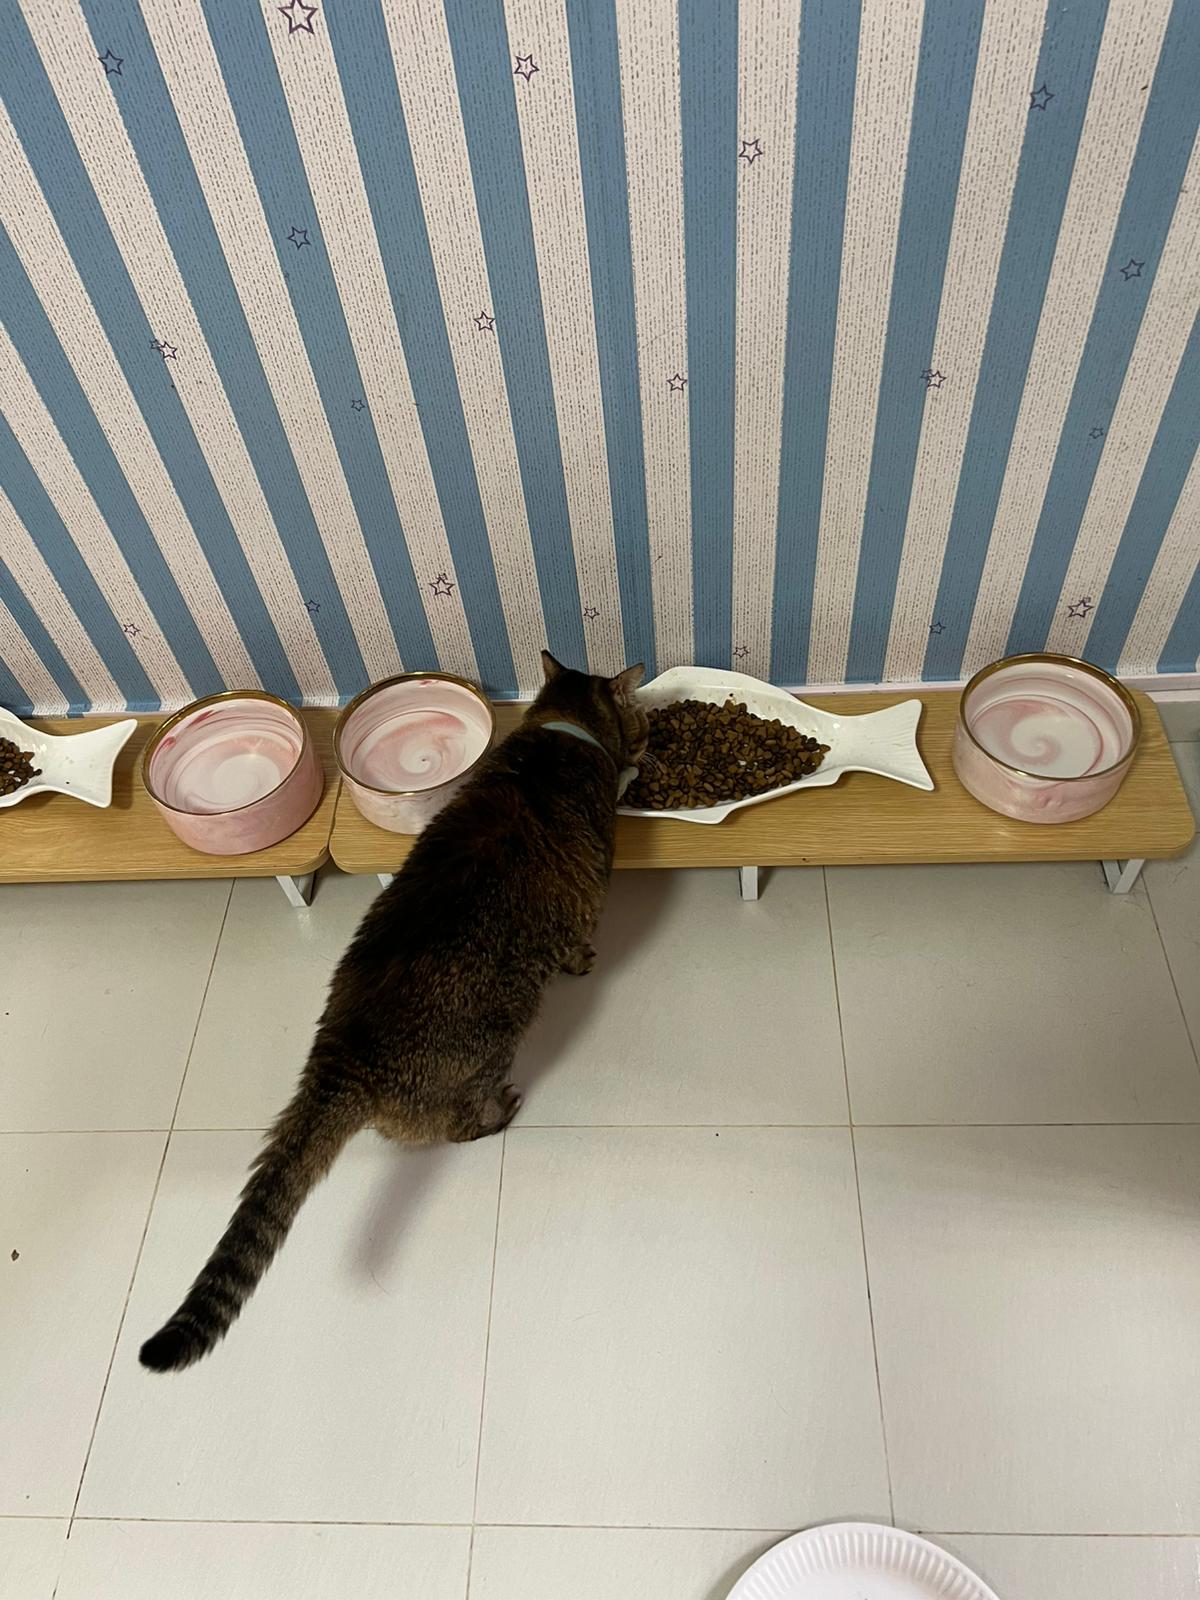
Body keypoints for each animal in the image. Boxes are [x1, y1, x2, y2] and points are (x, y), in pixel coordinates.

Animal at [139, 652, 646, 1372]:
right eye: (642, 721)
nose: (647, 739)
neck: (560, 733)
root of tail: (340, 1058)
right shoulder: (584, 908)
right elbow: (580, 945)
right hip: (490, 1048)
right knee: (454, 1127)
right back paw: (500, 1113)